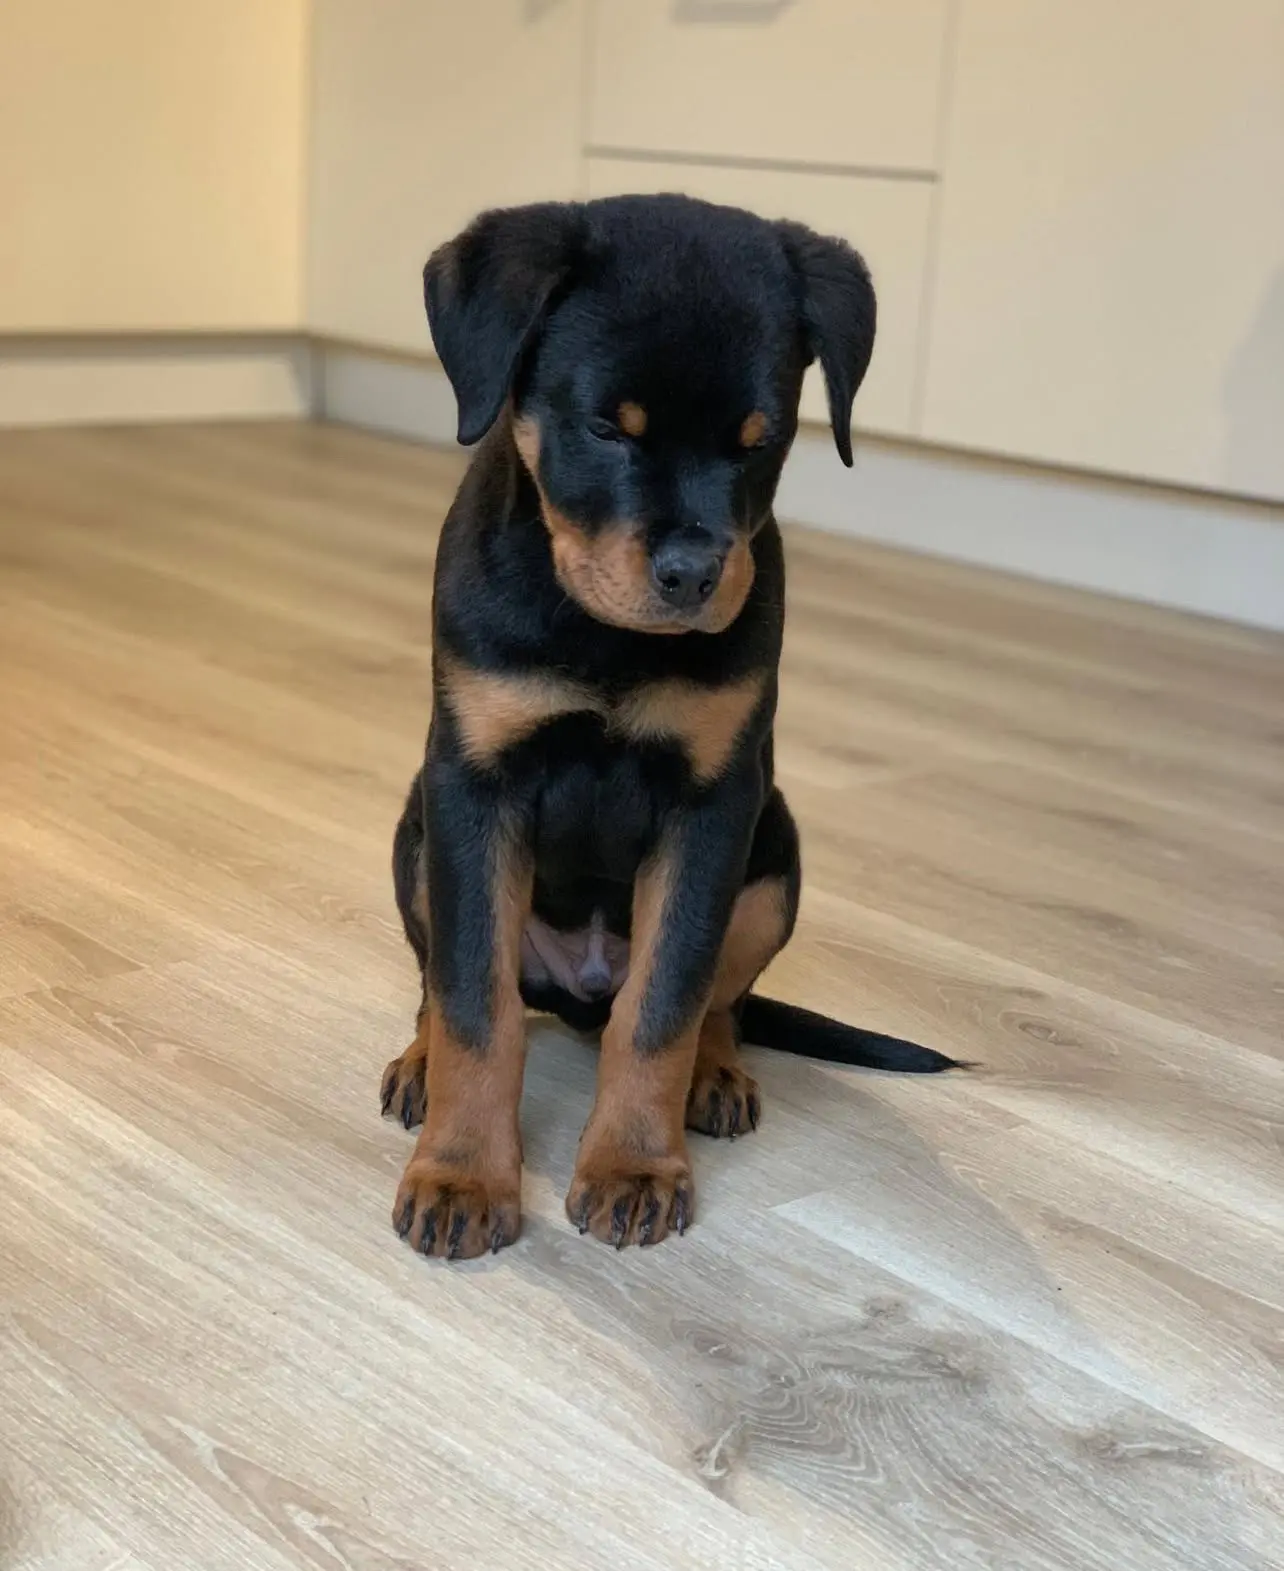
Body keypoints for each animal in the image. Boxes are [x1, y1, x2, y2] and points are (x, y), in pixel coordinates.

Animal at [380, 194, 959, 1261]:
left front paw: (634, 1168)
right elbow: (477, 1004)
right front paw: (462, 1175)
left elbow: (663, 1008)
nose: (693, 575)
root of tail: (576, 988)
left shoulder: (711, 807)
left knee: (716, 998)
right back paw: (419, 1063)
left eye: (759, 440)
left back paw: (716, 1076)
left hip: (774, 856)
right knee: (444, 978)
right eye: (607, 428)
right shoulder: (475, 788)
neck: (604, 636)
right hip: (416, 834)